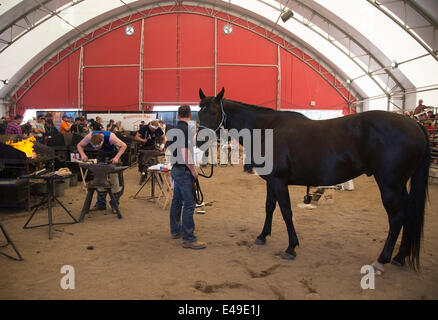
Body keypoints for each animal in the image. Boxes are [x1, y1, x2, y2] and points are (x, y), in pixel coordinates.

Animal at [199, 87, 432, 272]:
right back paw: (400, 257)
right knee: (408, 214)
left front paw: (291, 247)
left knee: (397, 218)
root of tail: (414, 124)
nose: (200, 141)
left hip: (390, 186)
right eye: (198, 112)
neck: (268, 129)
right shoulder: (271, 182)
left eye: (214, 111)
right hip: (400, 186)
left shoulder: (279, 181)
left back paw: (382, 260)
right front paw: (262, 236)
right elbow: (269, 208)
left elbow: (286, 212)